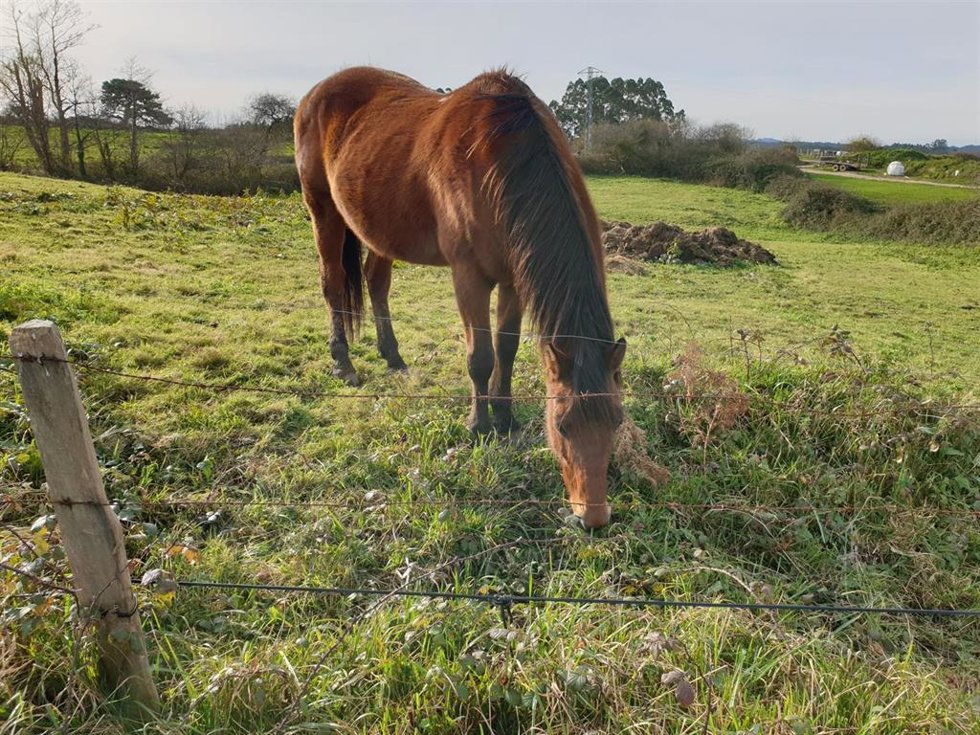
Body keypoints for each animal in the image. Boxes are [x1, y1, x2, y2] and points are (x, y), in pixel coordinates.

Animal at [293, 67, 626, 528]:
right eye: (562, 426)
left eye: (617, 420)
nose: (591, 518)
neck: (497, 157)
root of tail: (316, 93)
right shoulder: (469, 278)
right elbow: (480, 357)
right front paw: (478, 425)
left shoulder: (513, 279)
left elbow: (506, 349)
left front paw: (504, 417)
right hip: (323, 211)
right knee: (332, 284)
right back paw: (343, 363)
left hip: (377, 228)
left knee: (377, 284)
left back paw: (393, 357)